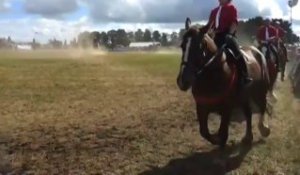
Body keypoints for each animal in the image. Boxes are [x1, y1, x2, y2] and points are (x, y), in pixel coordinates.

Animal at [177, 17, 270, 147]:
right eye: (182, 46)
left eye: (200, 46)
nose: (183, 80)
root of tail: (257, 51)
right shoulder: (201, 107)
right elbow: (204, 132)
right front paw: (216, 139)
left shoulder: (226, 108)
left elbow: (222, 131)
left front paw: (220, 139)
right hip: (245, 97)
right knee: (248, 113)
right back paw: (248, 137)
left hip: (260, 92)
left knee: (262, 107)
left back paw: (264, 128)